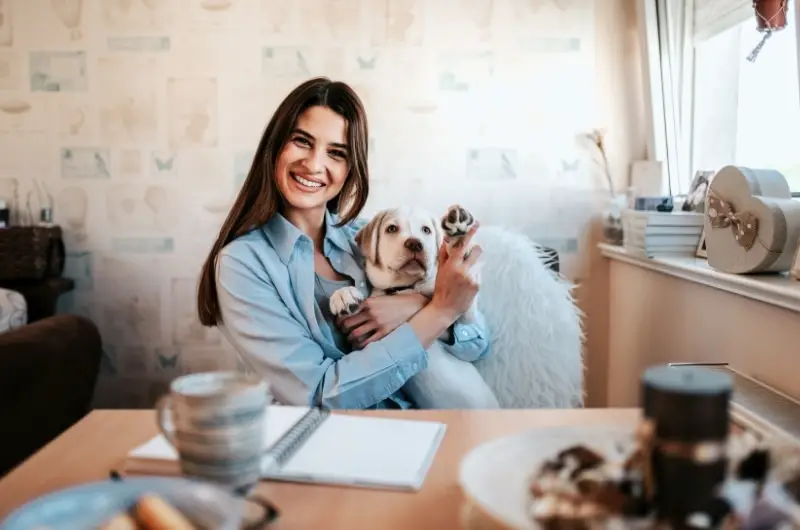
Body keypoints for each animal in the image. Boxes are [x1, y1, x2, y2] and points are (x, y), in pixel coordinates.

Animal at [328, 203, 496, 408]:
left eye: (426, 230)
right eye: (391, 228)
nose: (415, 243)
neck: (404, 287)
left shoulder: (464, 314)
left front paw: (458, 234)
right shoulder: (363, 339)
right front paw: (343, 295)